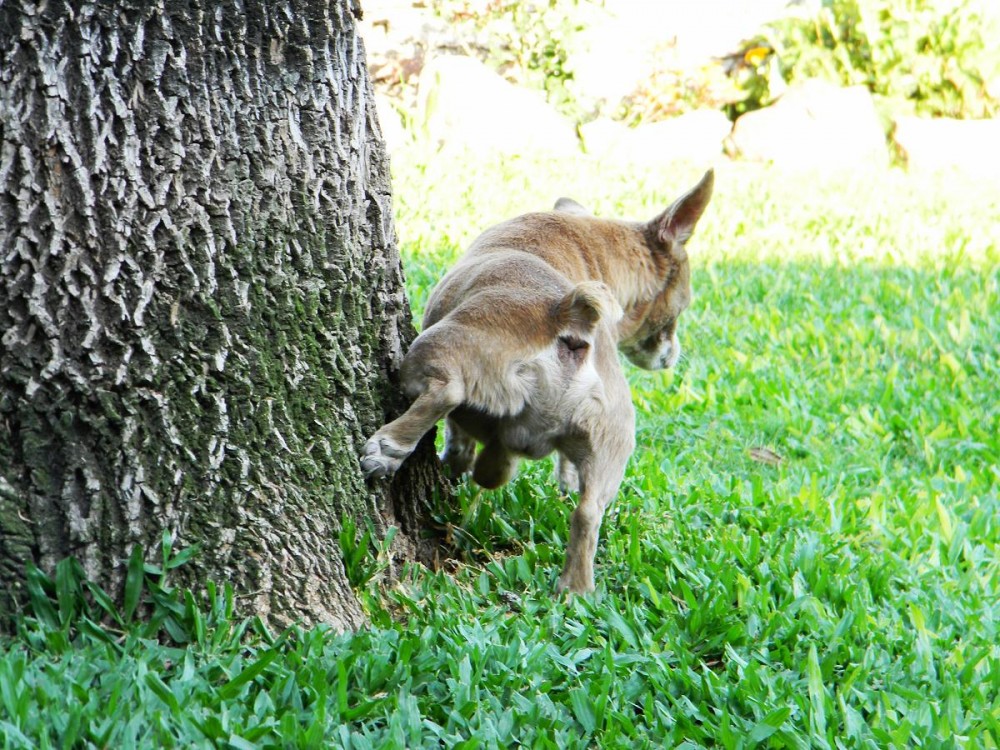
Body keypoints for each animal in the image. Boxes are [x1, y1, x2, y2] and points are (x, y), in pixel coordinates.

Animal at [364, 173, 716, 596]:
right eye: (681, 308)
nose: (672, 355)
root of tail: (566, 313)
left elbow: (458, 437)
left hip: (435, 349)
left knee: (448, 391)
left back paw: (390, 447)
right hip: (611, 436)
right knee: (586, 510)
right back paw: (574, 588)